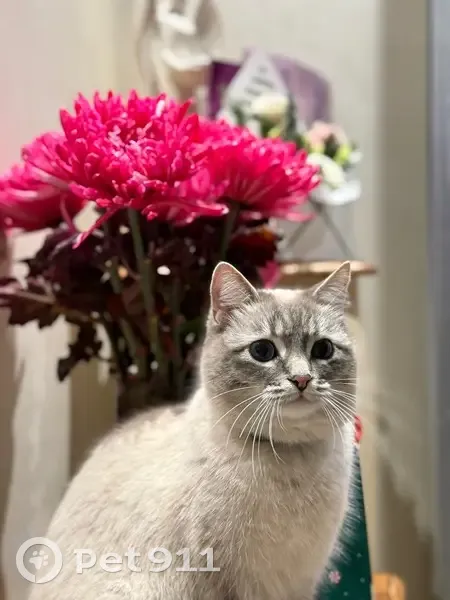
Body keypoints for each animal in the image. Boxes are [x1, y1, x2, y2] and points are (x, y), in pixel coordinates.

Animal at [29, 261, 356, 600]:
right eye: (263, 351)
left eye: (323, 349)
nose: (302, 380)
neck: (289, 457)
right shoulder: (230, 582)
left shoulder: (300, 584)